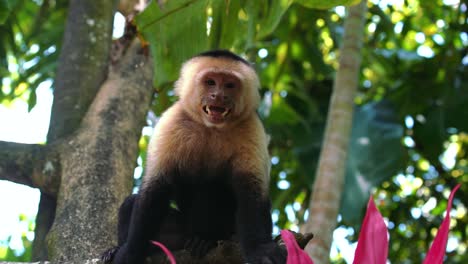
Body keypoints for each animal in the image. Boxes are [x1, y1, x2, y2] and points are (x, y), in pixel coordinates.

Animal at [104, 50, 286, 264]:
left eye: (230, 85)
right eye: (210, 82)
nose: (219, 95)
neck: (211, 127)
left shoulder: (251, 126)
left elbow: (251, 192)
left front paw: (260, 248)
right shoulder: (172, 121)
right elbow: (155, 189)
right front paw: (130, 252)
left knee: (211, 189)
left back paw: (206, 240)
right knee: (131, 204)